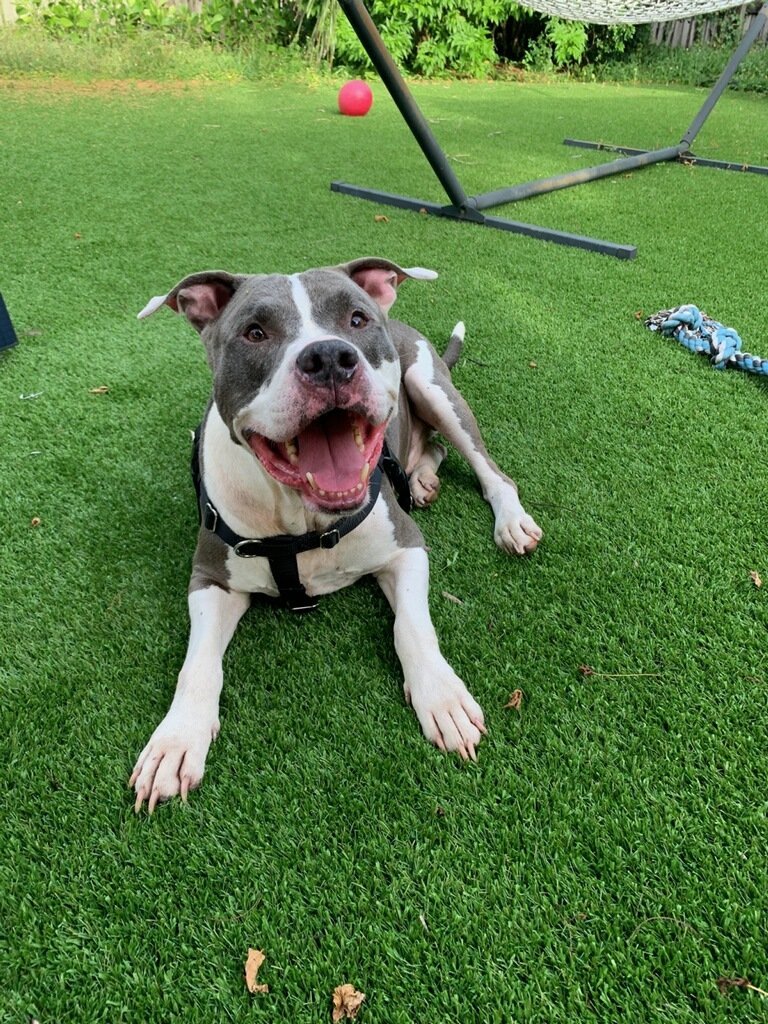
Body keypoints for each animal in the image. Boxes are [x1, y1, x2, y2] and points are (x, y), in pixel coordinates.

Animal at [131, 260, 540, 811]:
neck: (300, 520)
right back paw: (423, 479)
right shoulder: (211, 579)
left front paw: (442, 696)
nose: (328, 358)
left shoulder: (406, 547)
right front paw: (175, 741)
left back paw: (509, 519)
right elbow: (197, 664)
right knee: (432, 450)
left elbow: (412, 627)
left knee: (489, 469)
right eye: (254, 332)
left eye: (356, 320)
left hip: (431, 386)